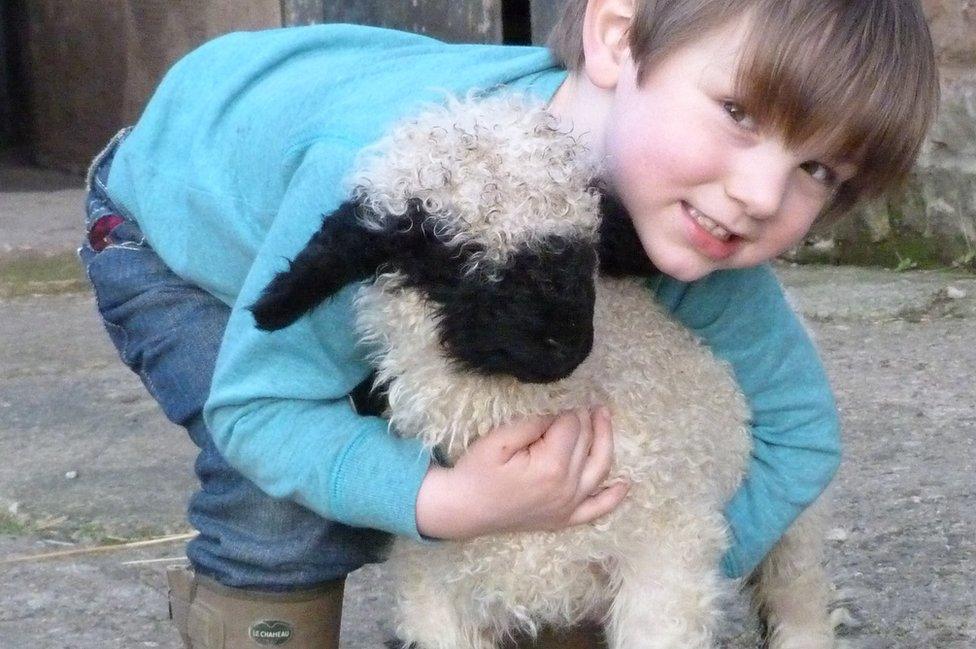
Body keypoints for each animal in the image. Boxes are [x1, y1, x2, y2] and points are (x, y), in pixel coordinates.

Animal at [248, 93, 836, 648]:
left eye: (590, 247)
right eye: (444, 256)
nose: (562, 344)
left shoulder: (669, 558)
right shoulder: (430, 592)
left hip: (796, 528)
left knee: (800, 600)